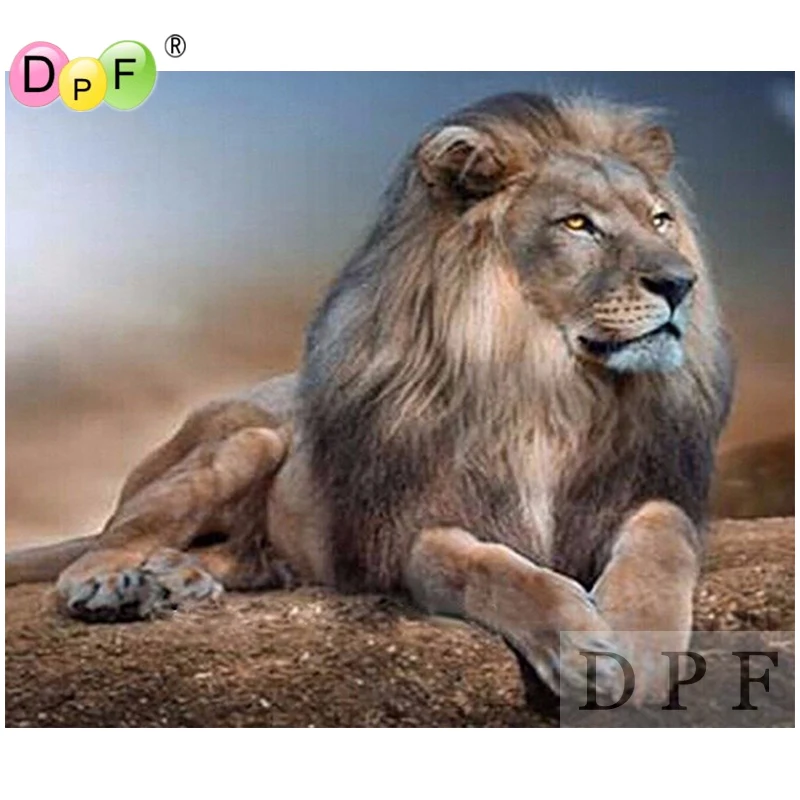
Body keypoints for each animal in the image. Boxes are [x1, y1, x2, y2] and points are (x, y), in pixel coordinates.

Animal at [6, 93, 734, 704]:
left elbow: (663, 537)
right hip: (244, 440)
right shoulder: (413, 527)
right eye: (578, 224)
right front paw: (585, 647)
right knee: (113, 537)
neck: (547, 387)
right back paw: (115, 584)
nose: (680, 283)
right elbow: (494, 571)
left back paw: (174, 580)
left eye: (661, 220)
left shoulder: (637, 490)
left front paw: (642, 646)